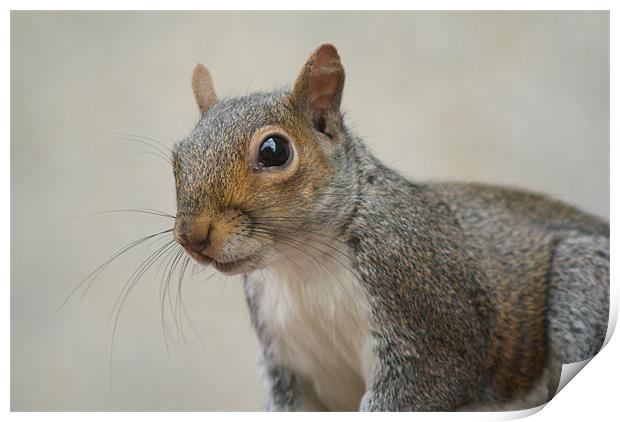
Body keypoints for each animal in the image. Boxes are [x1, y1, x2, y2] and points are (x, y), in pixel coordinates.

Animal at [171, 44, 612, 410]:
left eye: (274, 151)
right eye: (178, 155)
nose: (192, 237)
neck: (302, 264)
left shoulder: (429, 334)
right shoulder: (291, 364)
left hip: (583, 285)